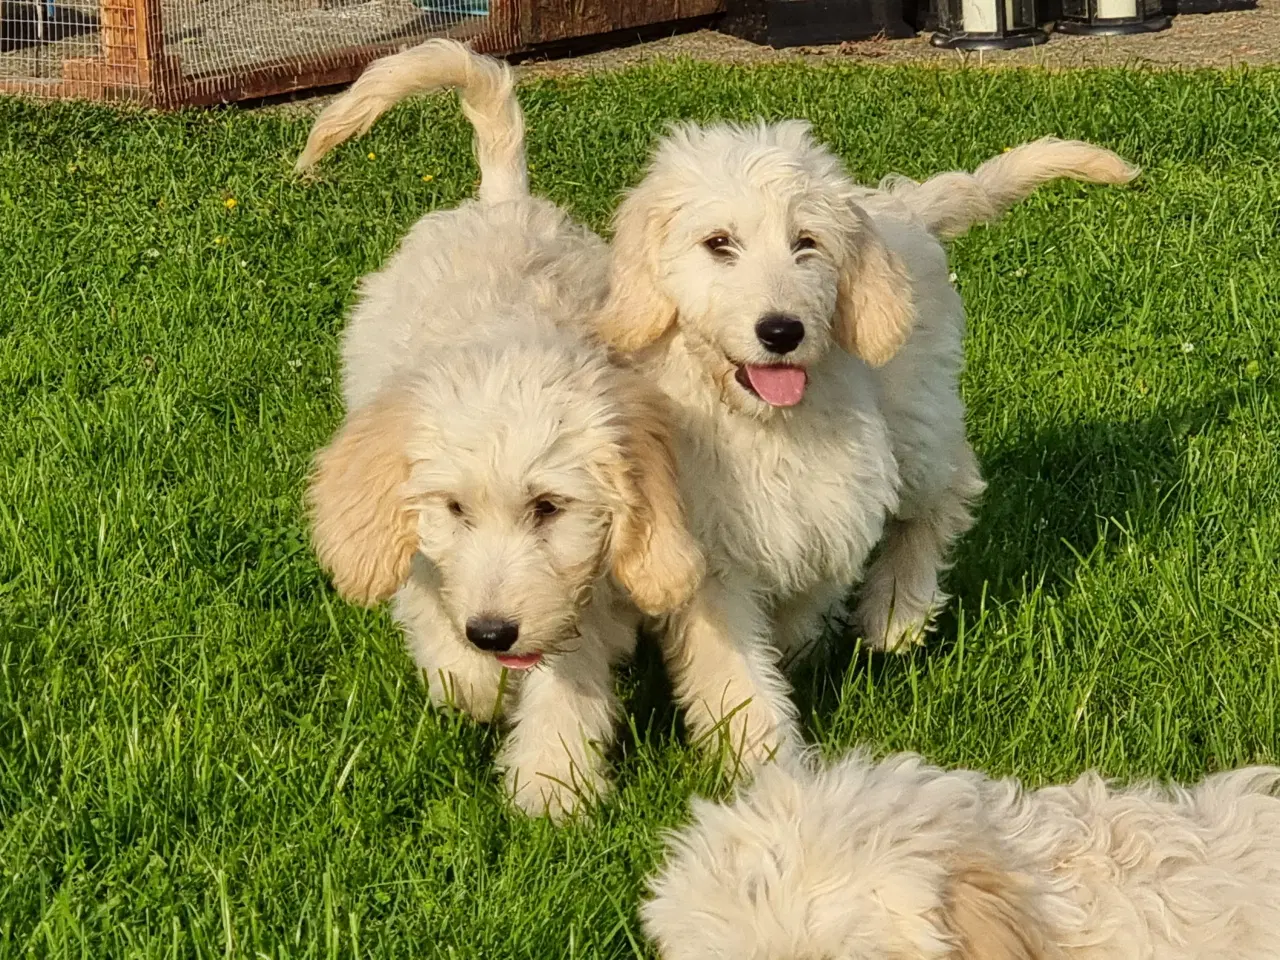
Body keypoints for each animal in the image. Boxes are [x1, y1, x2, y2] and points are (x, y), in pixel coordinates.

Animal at [295, 41, 706, 824]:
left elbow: (568, 681)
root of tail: (501, 201)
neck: (512, 335)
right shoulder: (425, 558)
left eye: (548, 508)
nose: (491, 633)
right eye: (455, 508)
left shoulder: (587, 589)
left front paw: (550, 787)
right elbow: (441, 630)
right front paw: (475, 686)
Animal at [593, 126, 1136, 768]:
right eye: (718, 243)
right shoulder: (707, 555)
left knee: (946, 493)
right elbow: (736, 667)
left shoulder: (833, 505)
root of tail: (899, 205)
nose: (782, 331)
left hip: (913, 422)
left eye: (806, 243)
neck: (768, 425)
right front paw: (764, 753)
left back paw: (897, 611)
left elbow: (807, 595)